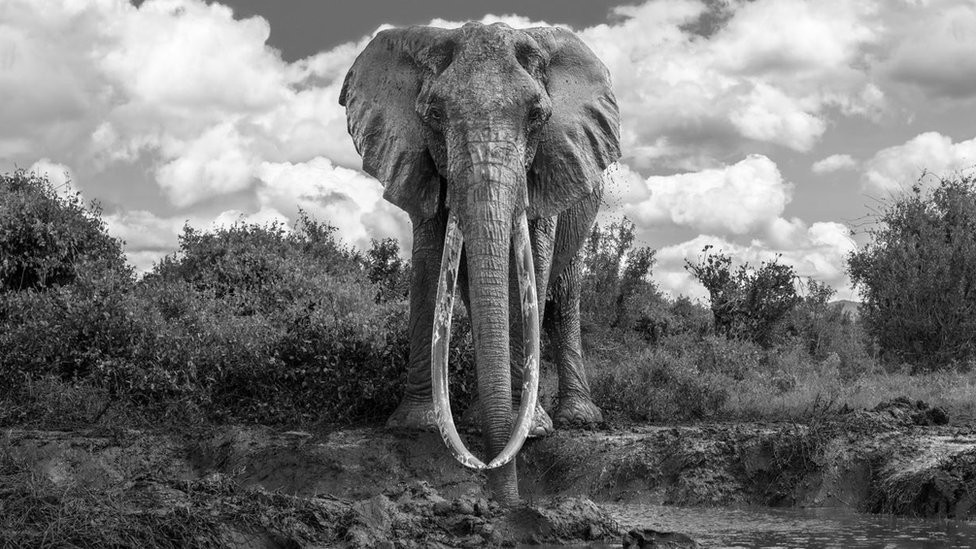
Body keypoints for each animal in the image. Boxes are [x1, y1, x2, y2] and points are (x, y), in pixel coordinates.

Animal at [340, 22, 620, 506]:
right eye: (434, 115)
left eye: (537, 116)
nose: (506, 499)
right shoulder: (421, 162)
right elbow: (430, 262)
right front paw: (416, 425)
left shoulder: (547, 166)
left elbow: (532, 269)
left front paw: (534, 429)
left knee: (563, 296)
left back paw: (578, 419)